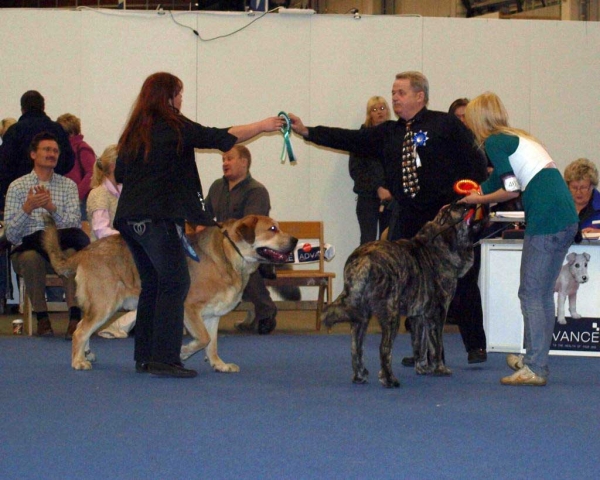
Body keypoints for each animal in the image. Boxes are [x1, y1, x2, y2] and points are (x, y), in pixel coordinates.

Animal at [41, 216, 296, 374]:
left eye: (279, 227)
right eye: (272, 229)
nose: (294, 240)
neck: (229, 254)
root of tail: (85, 251)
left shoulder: (212, 316)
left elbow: (212, 344)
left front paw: (218, 364)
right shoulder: (190, 308)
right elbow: (203, 339)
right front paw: (183, 353)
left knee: (82, 328)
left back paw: (86, 354)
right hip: (105, 305)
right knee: (80, 331)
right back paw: (78, 361)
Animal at [322, 202, 486, 386]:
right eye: (462, 208)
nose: (474, 202)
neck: (440, 243)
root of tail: (364, 258)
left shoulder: (418, 316)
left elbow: (420, 344)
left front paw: (422, 368)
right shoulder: (438, 312)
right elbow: (436, 345)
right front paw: (440, 368)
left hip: (360, 316)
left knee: (356, 347)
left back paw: (360, 375)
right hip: (391, 316)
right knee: (384, 349)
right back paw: (389, 379)